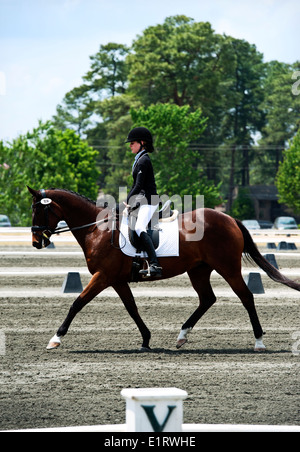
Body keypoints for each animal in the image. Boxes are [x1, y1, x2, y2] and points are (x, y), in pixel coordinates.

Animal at [28, 187, 300, 354]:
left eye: (39, 209)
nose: (36, 242)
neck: (98, 229)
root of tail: (230, 218)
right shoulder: (116, 280)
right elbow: (132, 308)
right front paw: (146, 340)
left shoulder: (103, 277)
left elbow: (77, 303)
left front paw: (55, 339)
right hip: (199, 270)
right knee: (207, 299)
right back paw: (182, 336)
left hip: (228, 267)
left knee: (246, 297)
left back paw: (259, 342)